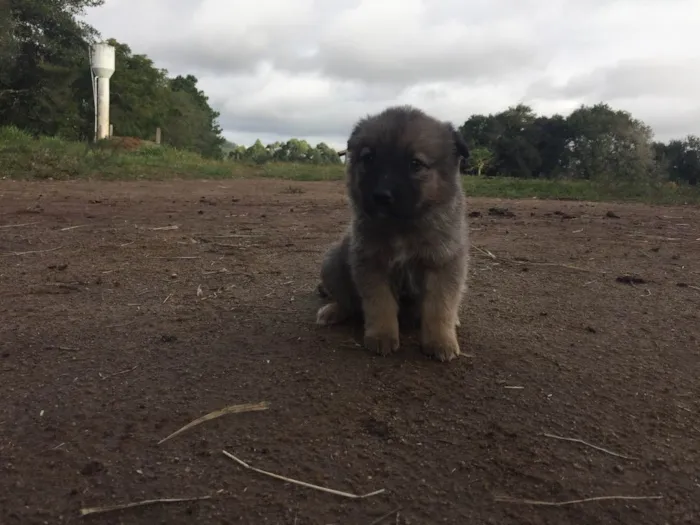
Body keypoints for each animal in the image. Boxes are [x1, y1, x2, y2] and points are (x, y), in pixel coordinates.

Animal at [318, 106, 470, 360]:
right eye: (369, 158)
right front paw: (382, 335)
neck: (401, 226)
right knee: (347, 301)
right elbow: (380, 303)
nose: (381, 196)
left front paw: (441, 341)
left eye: (415, 163)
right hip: (333, 263)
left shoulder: (443, 262)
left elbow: (440, 307)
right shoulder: (371, 263)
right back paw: (333, 311)